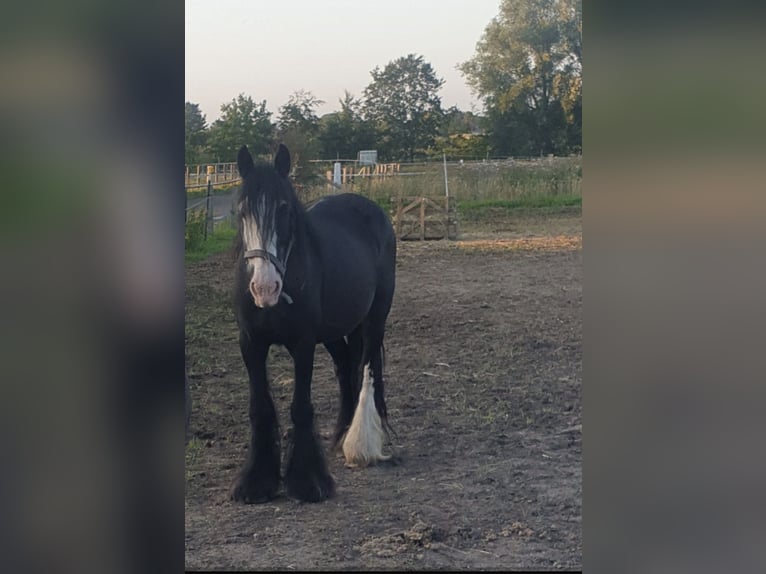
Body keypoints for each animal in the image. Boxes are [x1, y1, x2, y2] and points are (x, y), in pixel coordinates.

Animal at [230, 144, 396, 503]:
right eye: (242, 211)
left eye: (283, 209)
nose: (265, 288)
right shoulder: (251, 343)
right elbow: (260, 407)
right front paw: (256, 482)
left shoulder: (303, 344)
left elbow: (301, 407)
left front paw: (307, 481)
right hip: (336, 330)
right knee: (346, 367)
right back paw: (342, 435)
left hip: (375, 318)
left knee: (367, 368)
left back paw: (361, 444)